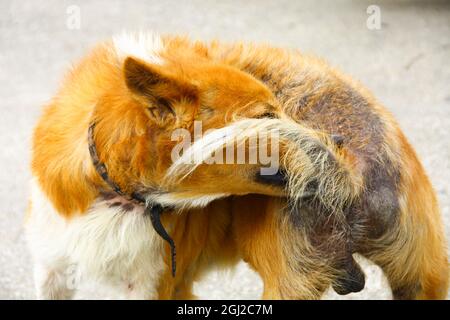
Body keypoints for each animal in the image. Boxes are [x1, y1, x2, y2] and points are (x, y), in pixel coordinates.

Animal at [26, 32, 448, 300]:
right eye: (265, 115)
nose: (337, 142)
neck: (117, 195)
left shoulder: (159, 285)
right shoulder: (52, 269)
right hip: (419, 280)